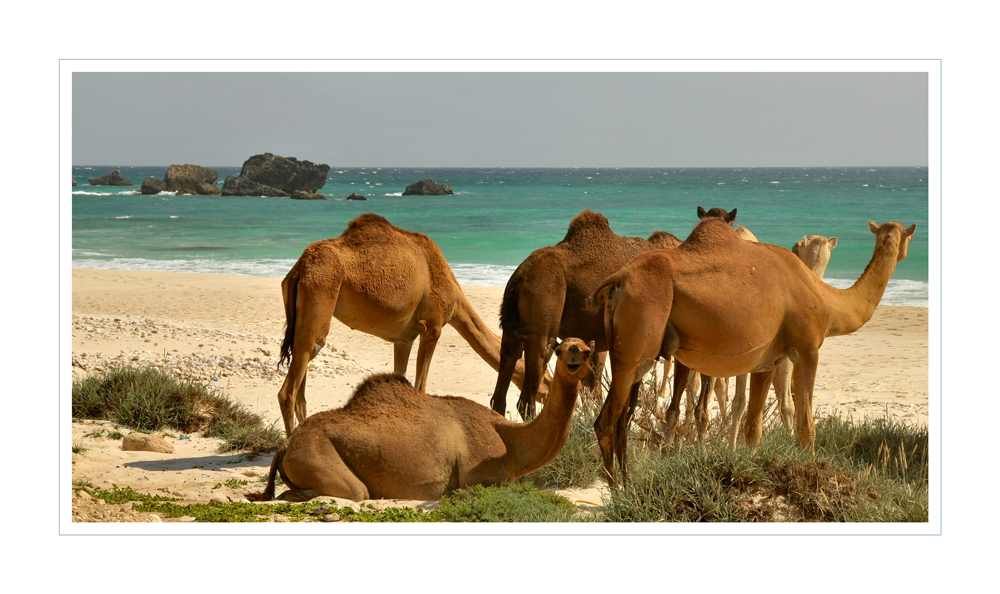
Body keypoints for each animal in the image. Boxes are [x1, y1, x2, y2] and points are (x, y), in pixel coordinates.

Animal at [262, 338, 596, 500]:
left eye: (587, 351)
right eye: (560, 350)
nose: (573, 357)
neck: (510, 440)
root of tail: (286, 446)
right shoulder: (477, 476)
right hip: (316, 456)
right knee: (355, 492)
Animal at [276, 210, 532, 432]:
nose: (531, 411)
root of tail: (300, 267)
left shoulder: (403, 339)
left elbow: (399, 379)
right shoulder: (433, 326)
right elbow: (421, 387)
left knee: (302, 373)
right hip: (321, 290)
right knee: (291, 387)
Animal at [592, 206, 916, 478]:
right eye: (908, 235)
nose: (905, 249)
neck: (827, 298)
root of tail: (618, 279)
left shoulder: (768, 361)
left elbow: (753, 428)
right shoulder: (807, 349)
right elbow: (806, 425)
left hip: (632, 352)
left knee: (619, 420)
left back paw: (627, 483)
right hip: (638, 336)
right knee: (608, 422)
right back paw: (619, 490)